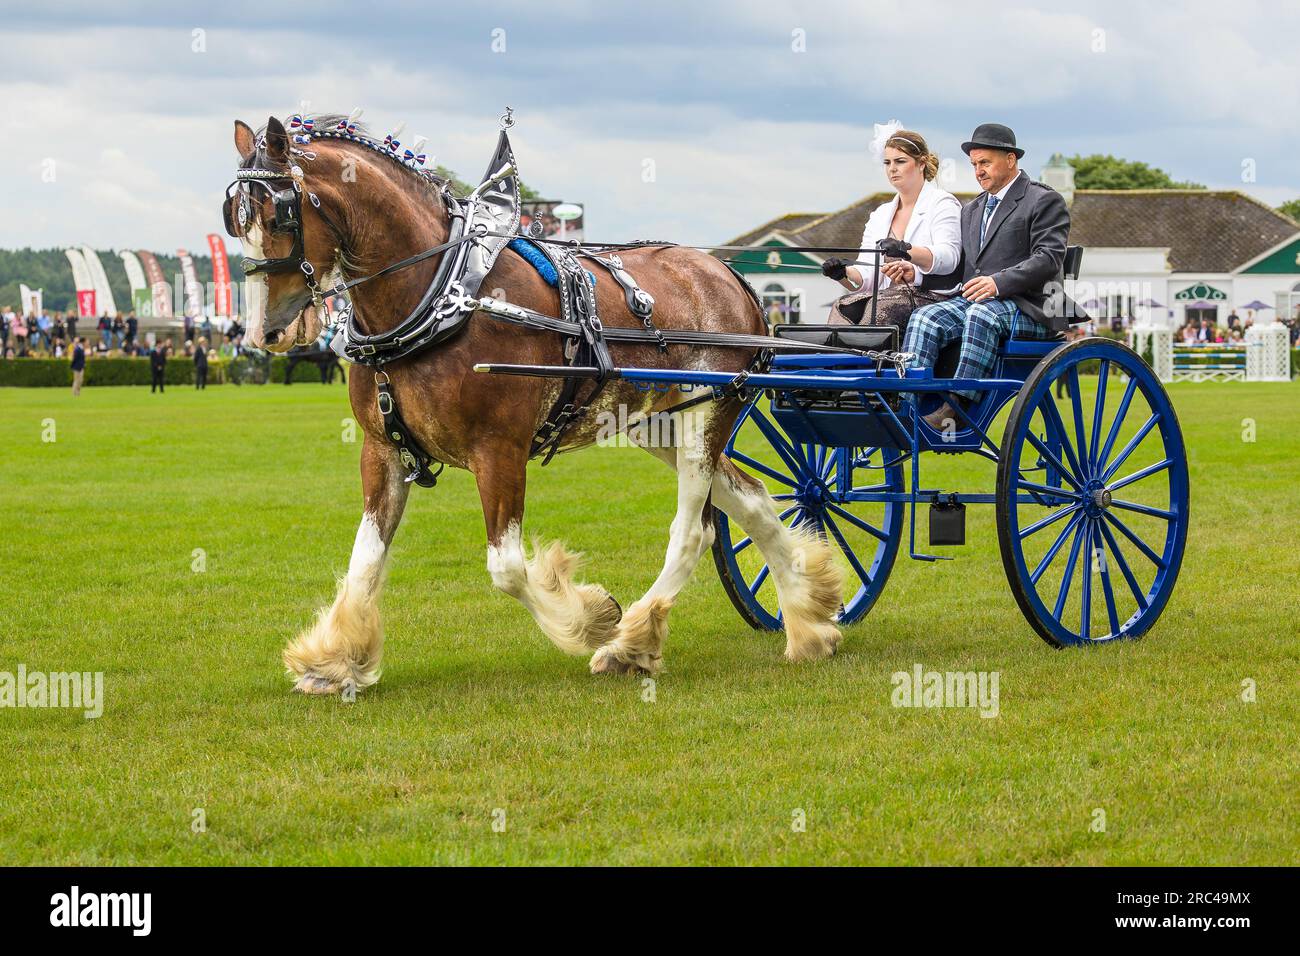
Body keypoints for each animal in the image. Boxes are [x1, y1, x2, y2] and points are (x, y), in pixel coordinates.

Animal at [231, 115, 842, 691]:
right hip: (657, 424)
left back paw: (632, 641)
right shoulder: (382, 451)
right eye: (234, 217)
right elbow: (365, 561)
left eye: (281, 214)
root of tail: (733, 278)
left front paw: (592, 620)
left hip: (704, 418)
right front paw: (334, 662)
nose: (266, 331)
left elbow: (506, 568)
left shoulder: (499, 450)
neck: (443, 294)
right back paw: (809, 621)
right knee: (754, 502)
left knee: (695, 532)